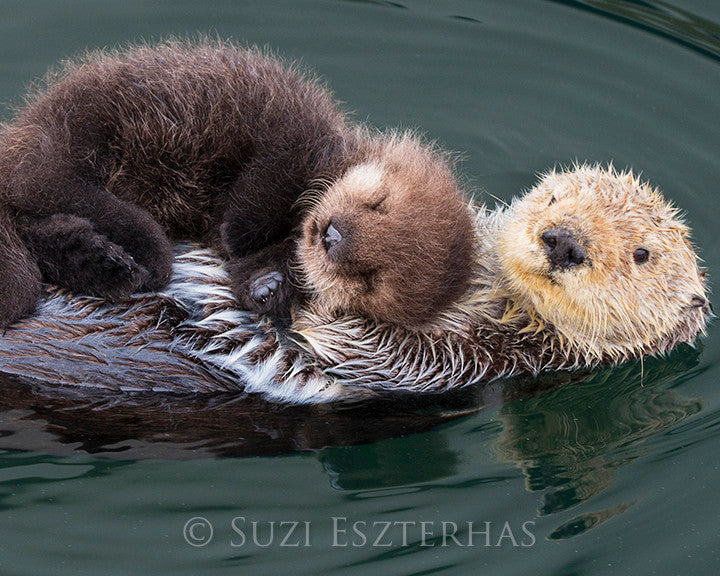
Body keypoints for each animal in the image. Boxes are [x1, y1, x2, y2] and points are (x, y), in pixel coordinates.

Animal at [0, 39, 475, 329]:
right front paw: (237, 234)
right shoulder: (297, 134)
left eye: (369, 277)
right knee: (51, 186)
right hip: (73, 137)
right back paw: (135, 253)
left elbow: (252, 265)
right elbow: (267, 178)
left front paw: (268, 288)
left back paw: (101, 261)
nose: (332, 235)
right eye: (379, 203)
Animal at [0, 165, 710, 403]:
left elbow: (365, 346)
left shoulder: (479, 361)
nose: (562, 241)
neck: (489, 289)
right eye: (555, 195)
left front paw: (299, 297)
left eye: (643, 254)